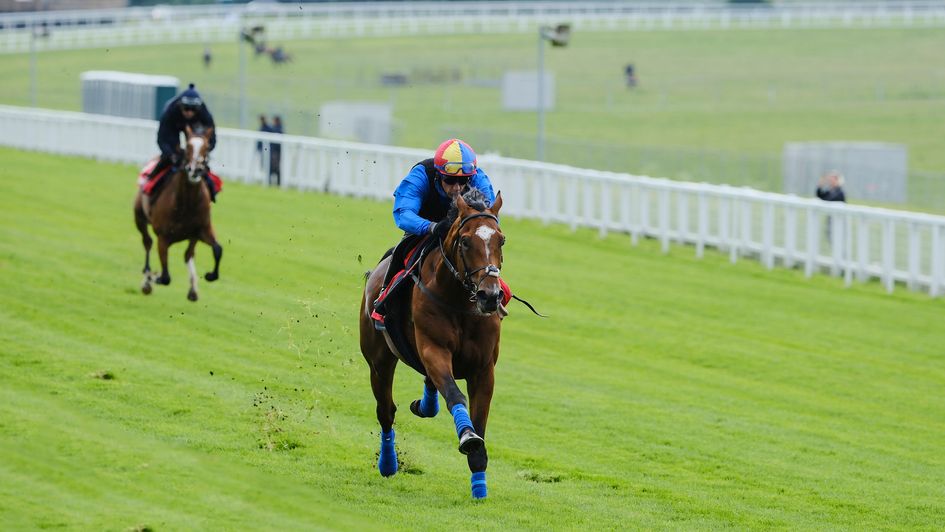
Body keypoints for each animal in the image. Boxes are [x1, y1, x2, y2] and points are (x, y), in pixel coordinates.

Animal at [133, 124, 223, 300]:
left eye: (206, 147)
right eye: (187, 146)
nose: (195, 170)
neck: (187, 203)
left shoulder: (202, 230)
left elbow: (217, 249)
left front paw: (210, 275)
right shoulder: (163, 237)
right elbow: (165, 277)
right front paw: (153, 278)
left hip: (193, 236)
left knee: (188, 254)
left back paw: (193, 288)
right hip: (139, 217)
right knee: (147, 242)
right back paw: (147, 279)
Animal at [360, 188, 506, 498]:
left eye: (501, 239)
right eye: (466, 241)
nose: (490, 295)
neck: (459, 301)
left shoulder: (483, 369)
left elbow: (480, 421)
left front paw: (479, 486)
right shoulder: (433, 350)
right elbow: (454, 394)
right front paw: (467, 436)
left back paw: (425, 405)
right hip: (378, 361)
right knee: (386, 411)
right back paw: (388, 463)